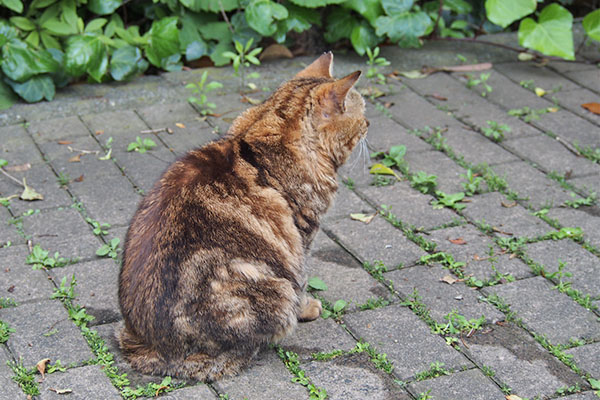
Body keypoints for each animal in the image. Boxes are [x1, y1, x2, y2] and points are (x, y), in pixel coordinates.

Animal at [117, 53, 368, 382]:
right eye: (362, 113)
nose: (369, 124)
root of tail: (154, 349)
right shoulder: (303, 234)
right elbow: (302, 280)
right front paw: (307, 307)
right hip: (273, 290)